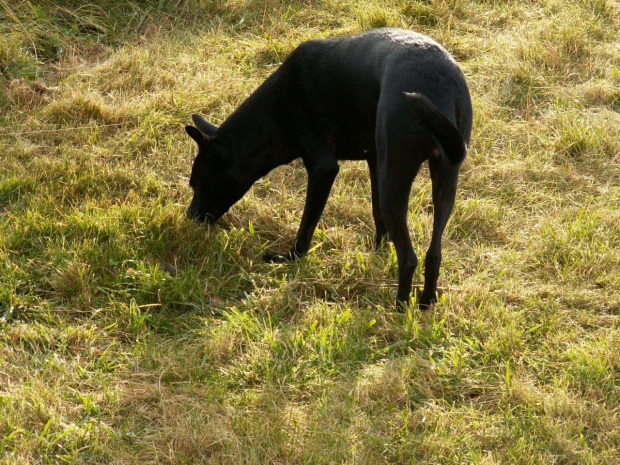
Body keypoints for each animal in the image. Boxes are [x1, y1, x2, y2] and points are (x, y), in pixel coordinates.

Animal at [183, 28, 470, 308]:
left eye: (196, 185)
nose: (188, 217)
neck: (276, 110)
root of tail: (439, 85)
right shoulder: (375, 159)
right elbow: (376, 214)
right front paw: (379, 249)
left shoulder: (323, 168)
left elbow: (306, 225)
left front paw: (290, 258)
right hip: (444, 180)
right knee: (434, 253)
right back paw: (426, 302)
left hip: (396, 181)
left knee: (409, 257)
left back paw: (400, 307)